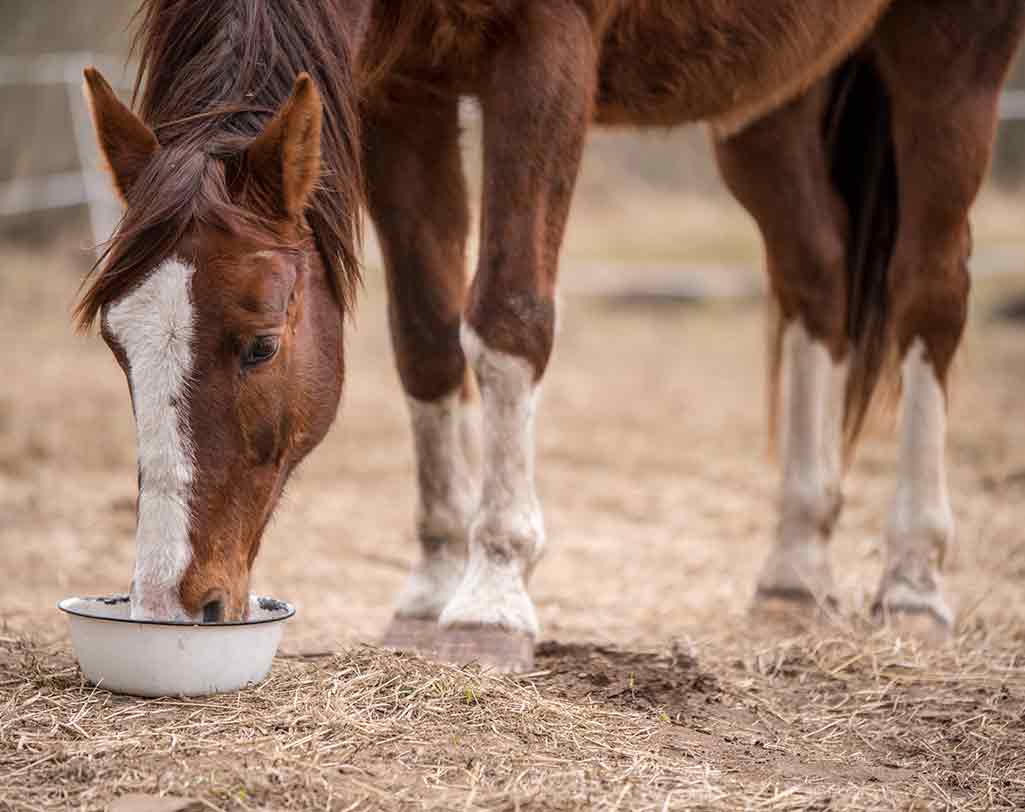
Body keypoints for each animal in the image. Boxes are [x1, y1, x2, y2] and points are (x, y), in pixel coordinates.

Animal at [79, 1, 1025, 672]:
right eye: (118, 347)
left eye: (261, 345)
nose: (172, 604)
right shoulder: (402, 91)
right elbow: (424, 334)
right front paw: (430, 585)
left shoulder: (543, 53)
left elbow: (507, 313)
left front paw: (491, 596)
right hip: (771, 95)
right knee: (814, 278)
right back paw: (794, 570)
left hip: (950, 55)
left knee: (929, 294)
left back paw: (912, 583)